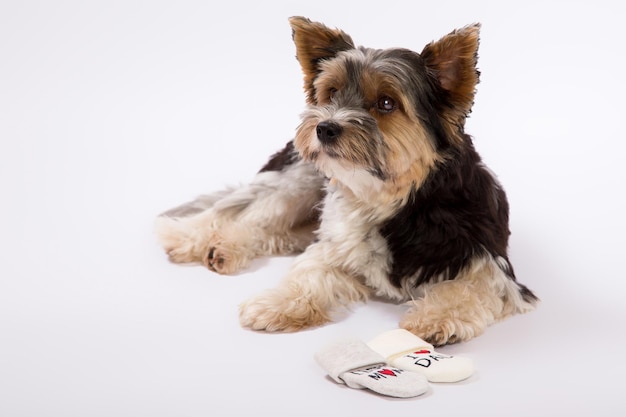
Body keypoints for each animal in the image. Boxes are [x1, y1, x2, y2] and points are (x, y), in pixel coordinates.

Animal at [155, 15, 536, 344]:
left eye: (386, 103)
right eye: (332, 92)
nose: (324, 127)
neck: (389, 197)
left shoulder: (486, 260)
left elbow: (472, 286)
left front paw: (437, 318)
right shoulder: (336, 243)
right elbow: (309, 271)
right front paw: (277, 303)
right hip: (300, 179)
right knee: (245, 212)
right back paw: (193, 238)